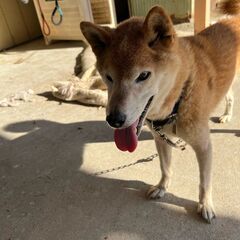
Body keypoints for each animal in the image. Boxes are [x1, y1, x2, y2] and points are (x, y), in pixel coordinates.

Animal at [79, 0, 239, 222]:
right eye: (108, 77)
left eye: (143, 75)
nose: (114, 120)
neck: (179, 98)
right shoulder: (160, 140)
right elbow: (165, 168)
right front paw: (162, 187)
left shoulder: (204, 147)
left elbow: (204, 182)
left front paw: (205, 204)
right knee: (230, 96)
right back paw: (226, 115)